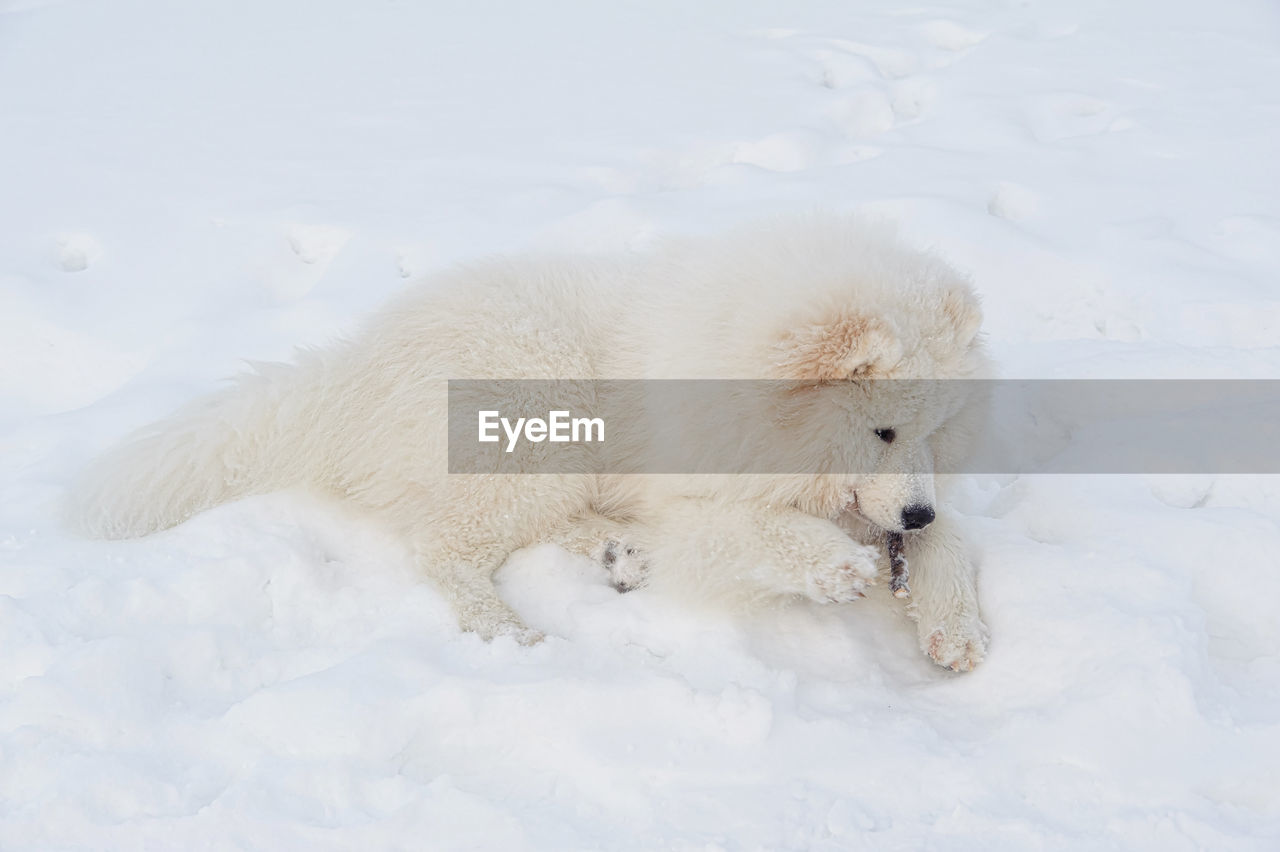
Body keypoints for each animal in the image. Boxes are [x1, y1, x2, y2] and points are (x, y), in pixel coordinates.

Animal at [67, 213, 988, 670]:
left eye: (938, 432)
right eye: (881, 428)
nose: (913, 513)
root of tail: (352, 369)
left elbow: (953, 543)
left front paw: (956, 627)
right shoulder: (698, 494)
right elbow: (747, 531)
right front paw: (833, 565)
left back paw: (621, 555)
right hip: (541, 419)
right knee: (445, 551)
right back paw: (511, 633)